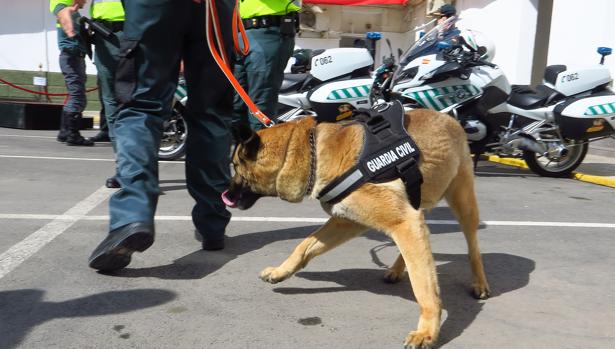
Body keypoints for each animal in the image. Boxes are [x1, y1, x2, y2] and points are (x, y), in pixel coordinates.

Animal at [221, 109, 490, 348]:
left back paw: (479, 283)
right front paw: (280, 272)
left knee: (472, 247)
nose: (224, 195)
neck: (311, 152)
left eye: (235, 165)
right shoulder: (348, 222)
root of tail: (449, 117)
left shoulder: (401, 220)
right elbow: (304, 245)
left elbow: (423, 285)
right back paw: (396, 270)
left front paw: (427, 332)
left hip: (463, 204)